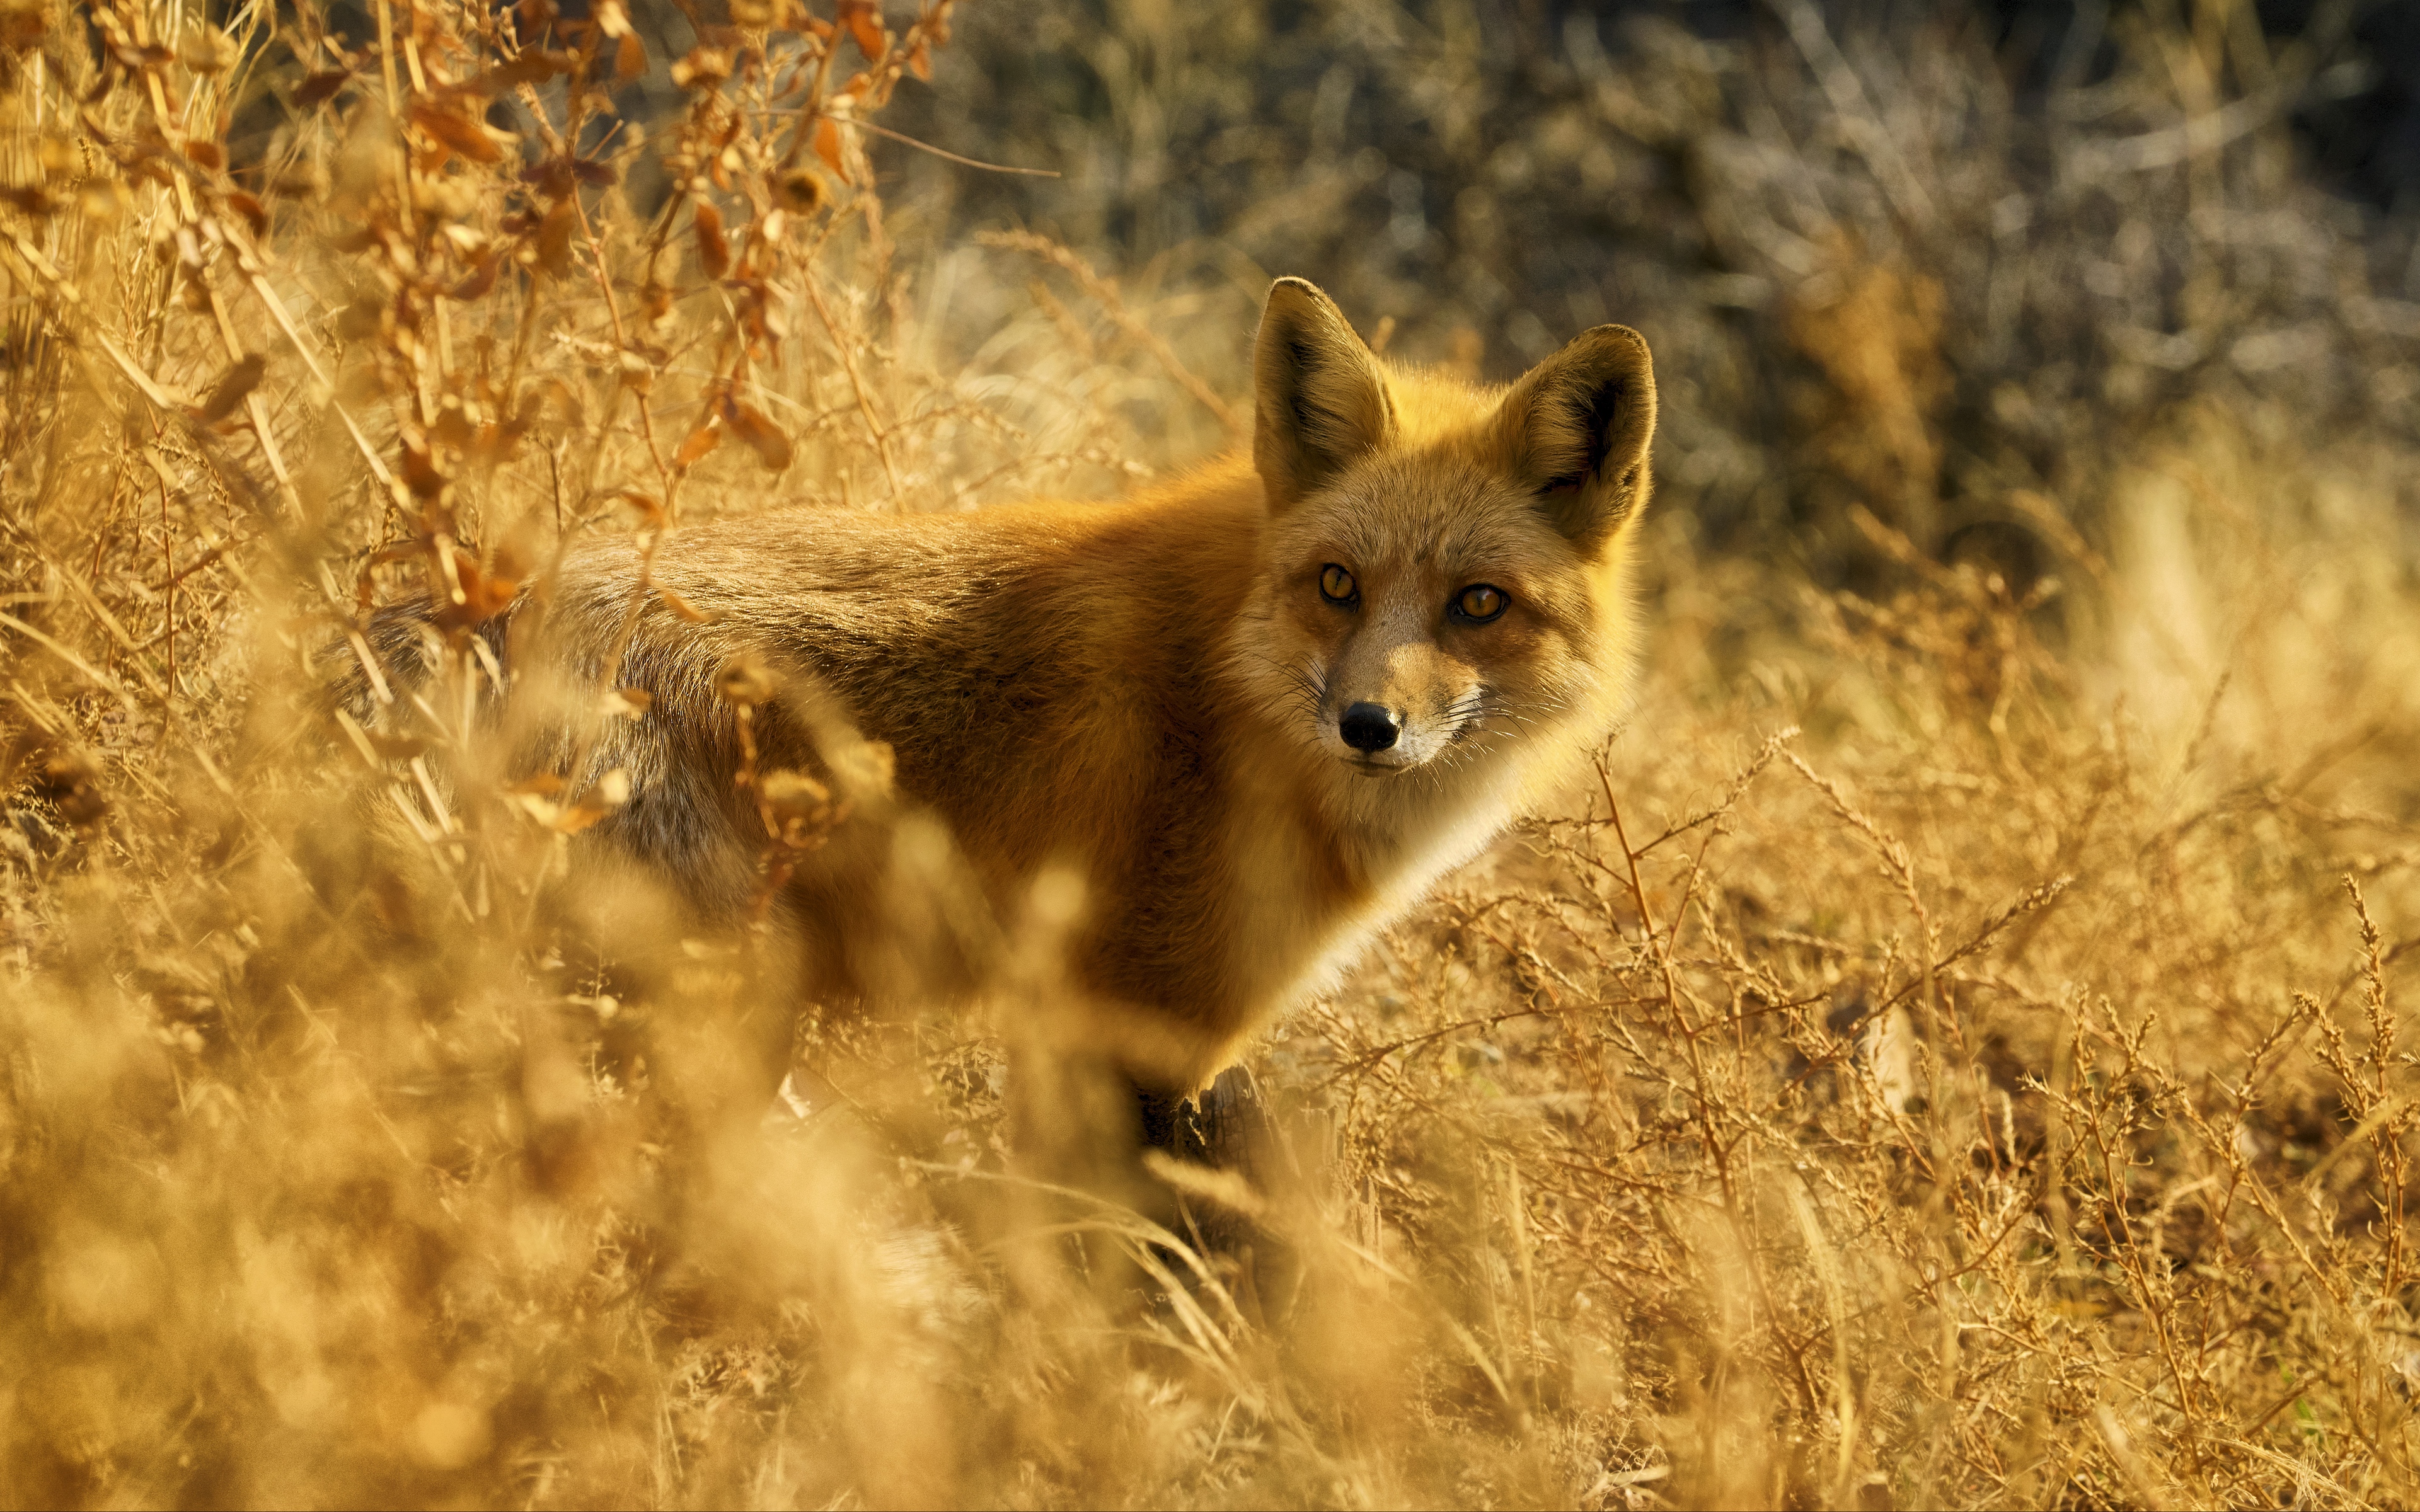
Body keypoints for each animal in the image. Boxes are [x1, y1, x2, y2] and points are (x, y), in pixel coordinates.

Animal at [353, 277, 1656, 1153]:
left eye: (1478, 603)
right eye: (1338, 584)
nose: (1370, 725)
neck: (1231, 689)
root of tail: (463, 612)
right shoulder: (1125, 1035)